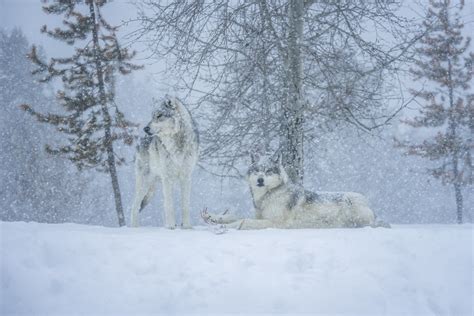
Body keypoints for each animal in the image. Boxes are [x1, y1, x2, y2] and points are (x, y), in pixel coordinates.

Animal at [130, 96, 198, 230]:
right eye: (152, 116)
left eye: (159, 115)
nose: (145, 128)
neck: (177, 142)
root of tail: (140, 141)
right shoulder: (167, 177)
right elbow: (169, 204)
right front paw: (170, 226)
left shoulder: (186, 177)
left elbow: (185, 204)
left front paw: (186, 226)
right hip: (145, 183)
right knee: (134, 206)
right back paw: (134, 228)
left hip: (154, 187)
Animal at [202, 154, 386, 228]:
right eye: (258, 171)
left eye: (268, 171)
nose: (260, 180)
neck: (269, 195)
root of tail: (369, 203)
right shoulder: (260, 216)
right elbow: (235, 216)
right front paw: (213, 217)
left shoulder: (274, 223)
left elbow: (243, 221)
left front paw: (225, 227)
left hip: (351, 210)